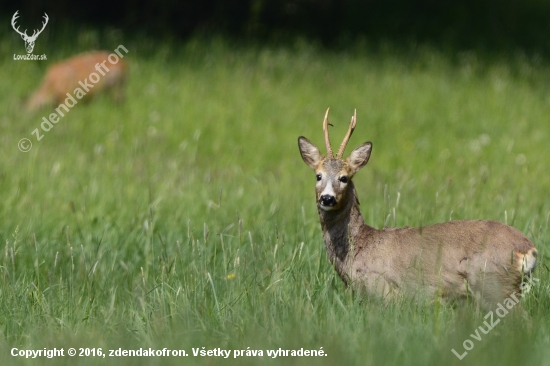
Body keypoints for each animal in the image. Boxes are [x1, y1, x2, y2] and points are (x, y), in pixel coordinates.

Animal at [300, 108, 540, 308]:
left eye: (344, 178)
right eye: (318, 175)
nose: (327, 198)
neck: (361, 247)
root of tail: (528, 248)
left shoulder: (385, 291)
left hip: (494, 284)